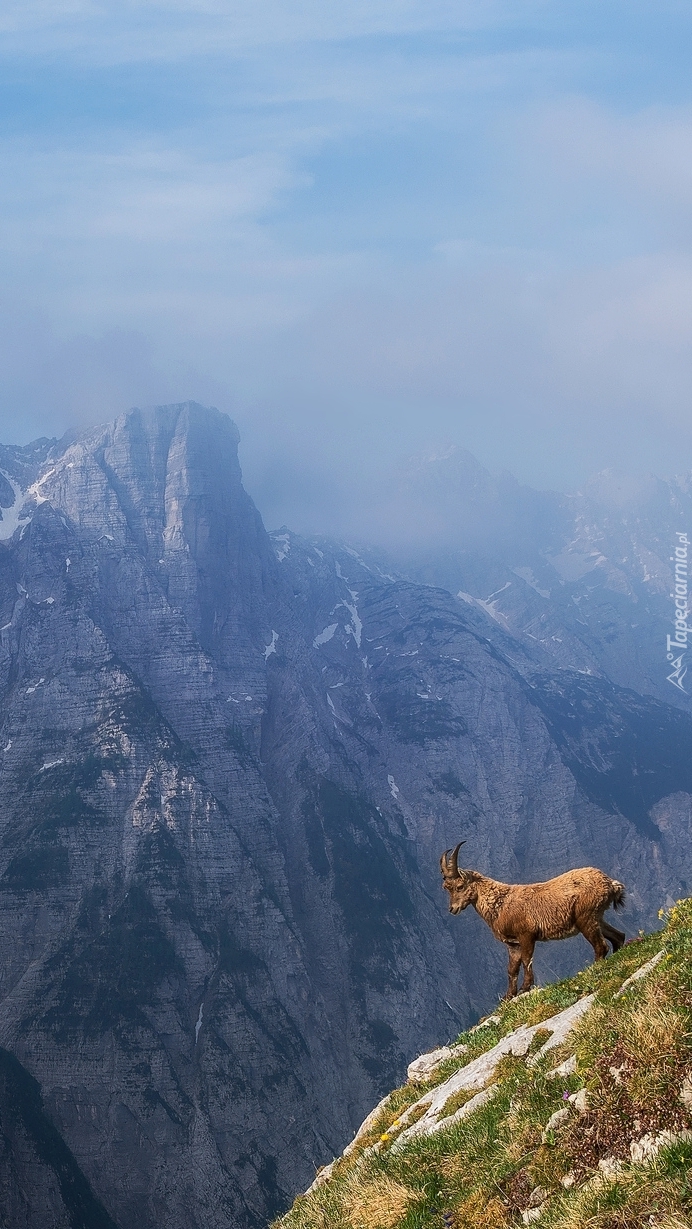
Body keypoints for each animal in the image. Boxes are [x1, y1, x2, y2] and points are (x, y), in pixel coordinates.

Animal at [444, 845, 629, 997]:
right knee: (618, 936)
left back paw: (593, 968)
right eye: (446, 888)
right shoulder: (512, 943)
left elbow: (527, 960)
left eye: (460, 886)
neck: (500, 903)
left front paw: (525, 988)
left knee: (601, 946)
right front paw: (508, 996)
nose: (452, 909)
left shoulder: (526, 935)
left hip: (586, 918)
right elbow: (512, 969)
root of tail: (610, 884)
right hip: (596, 917)